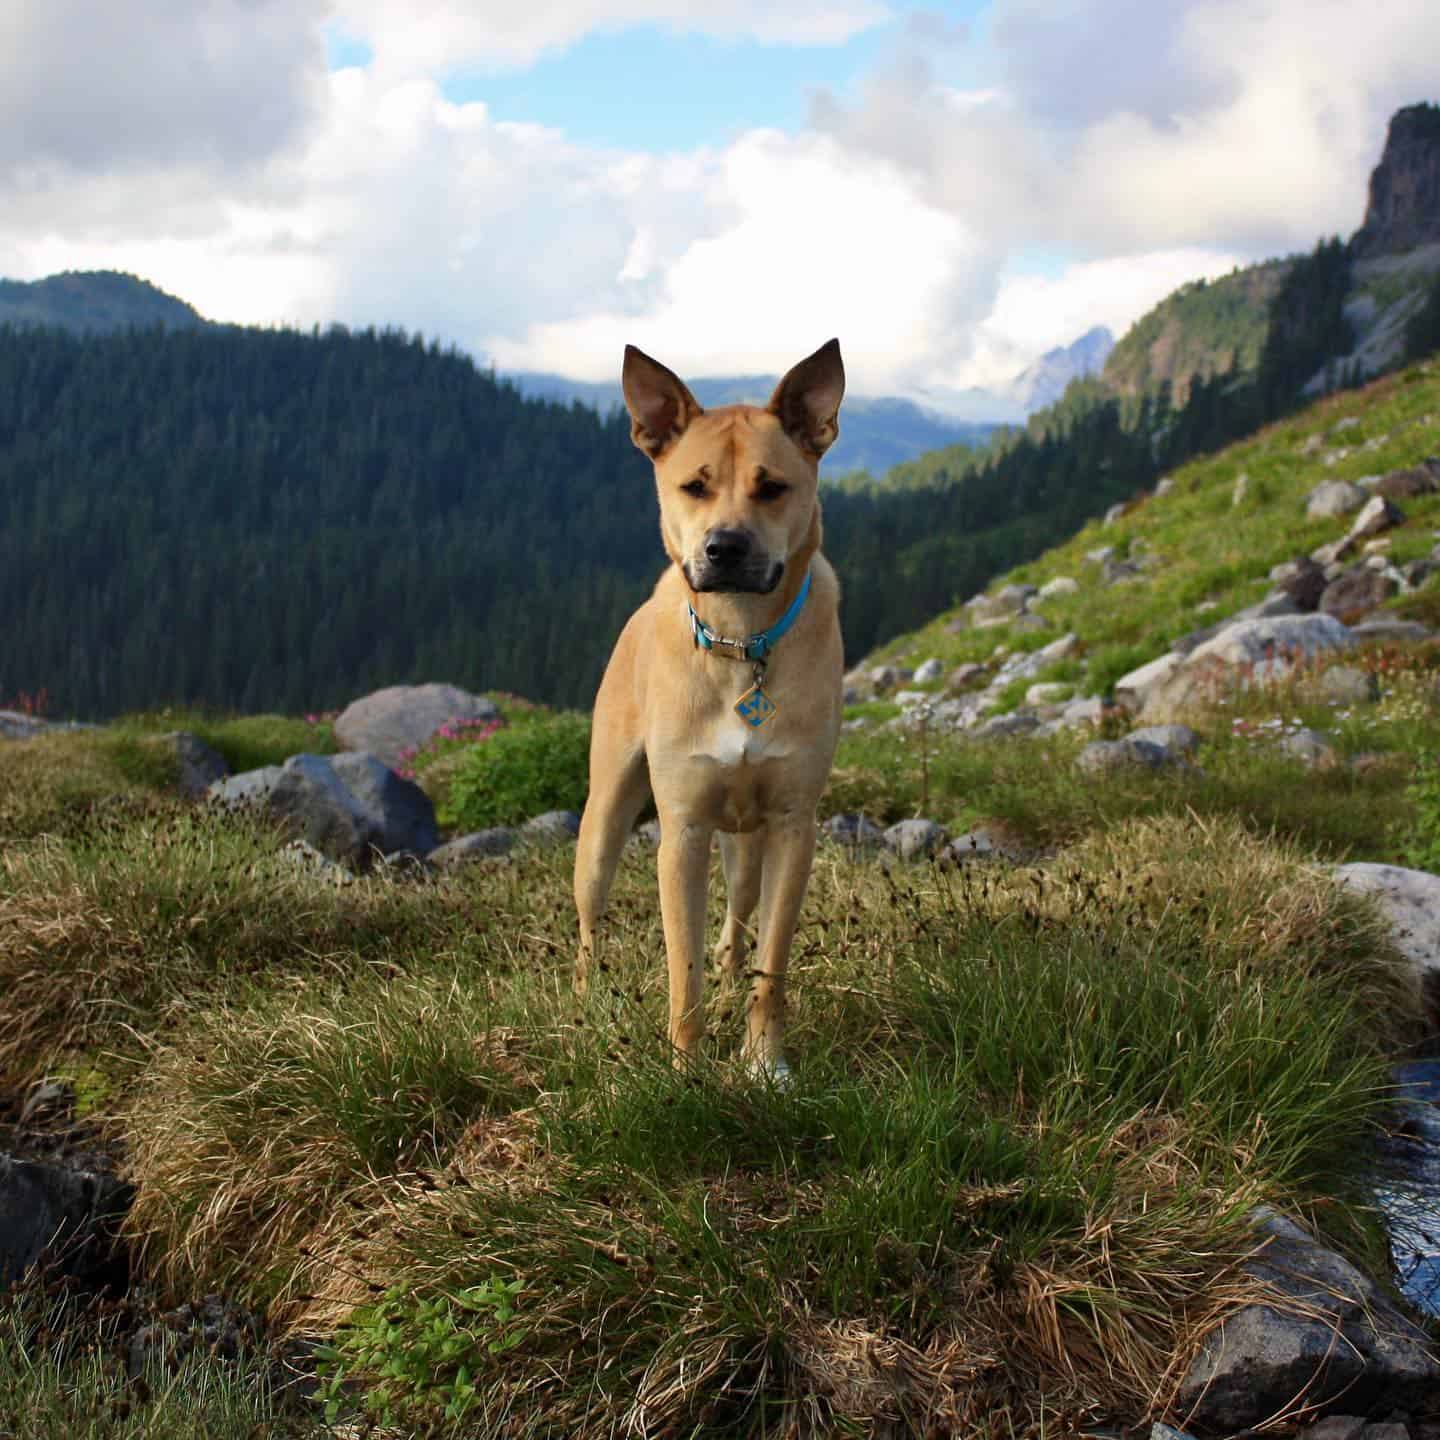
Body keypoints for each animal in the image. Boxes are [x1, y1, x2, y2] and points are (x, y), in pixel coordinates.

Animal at [570, 339, 840, 1082]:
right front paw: (685, 1070)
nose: (725, 547)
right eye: (694, 485)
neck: (739, 643)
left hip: (747, 846)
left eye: (772, 486)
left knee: (737, 929)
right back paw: (583, 1005)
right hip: (604, 818)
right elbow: (680, 967)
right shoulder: (683, 831)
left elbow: (770, 965)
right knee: (589, 920)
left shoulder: (792, 827)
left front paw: (764, 1062)